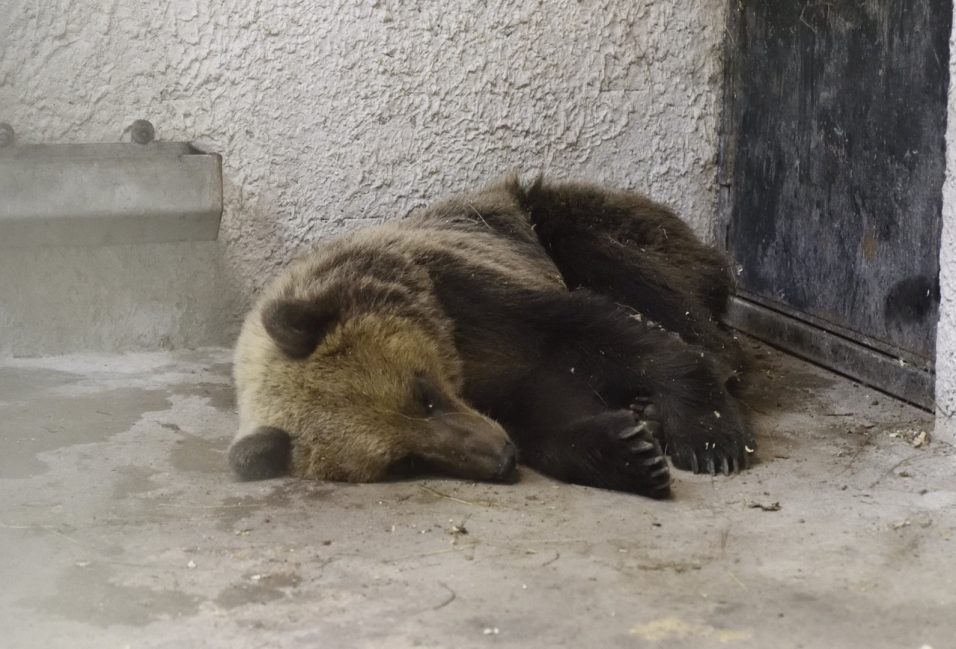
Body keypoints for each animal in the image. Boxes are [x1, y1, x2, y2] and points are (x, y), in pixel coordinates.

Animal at [228, 176, 754, 498]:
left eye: (423, 395)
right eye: (404, 462)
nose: (501, 458)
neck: (456, 356)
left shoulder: (471, 294)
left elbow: (603, 332)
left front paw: (708, 440)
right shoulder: (498, 384)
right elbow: (547, 413)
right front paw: (631, 451)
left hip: (582, 223)